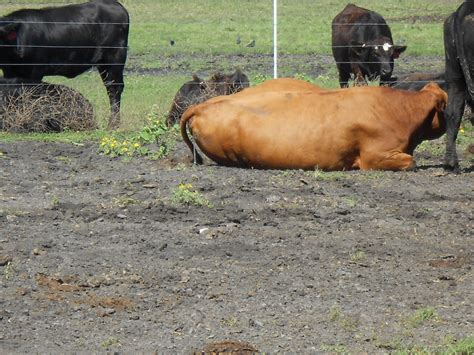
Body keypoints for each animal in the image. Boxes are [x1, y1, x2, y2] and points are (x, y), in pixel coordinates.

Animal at [0, 0, 129, 131]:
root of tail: (116, 5)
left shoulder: (34, 72)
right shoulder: (8, 71)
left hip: (115, 58)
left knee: (114, 89)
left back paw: (113, 125)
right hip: (103, 64)